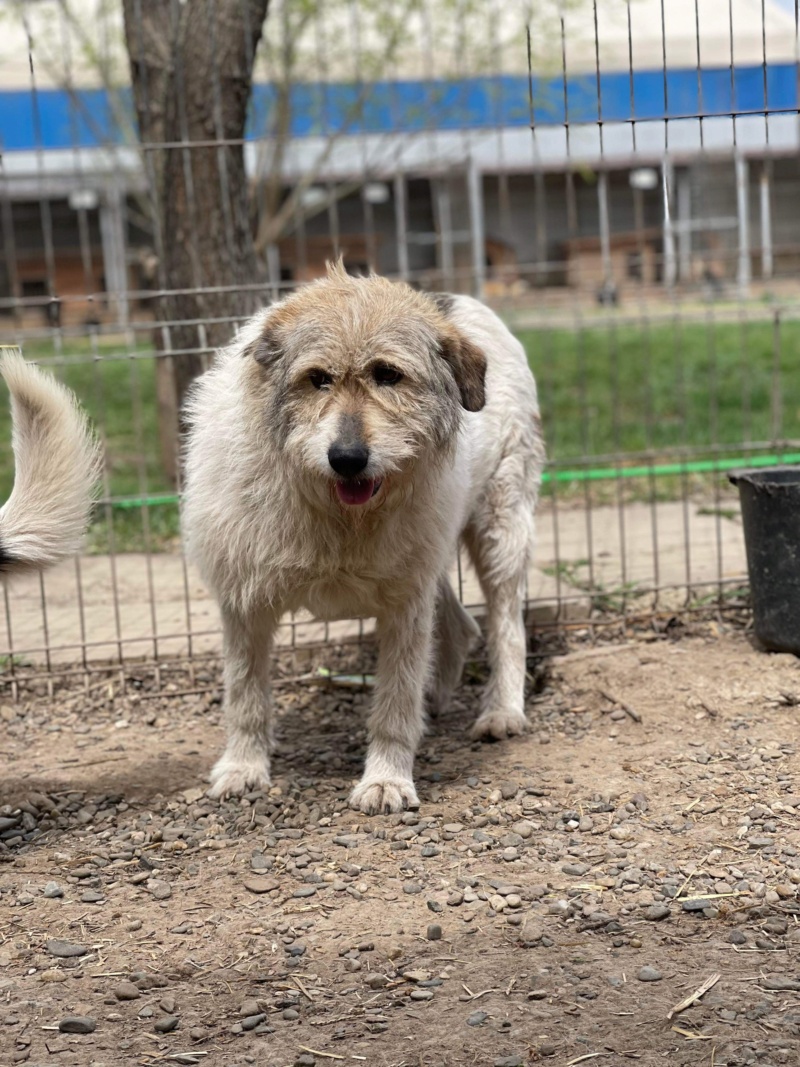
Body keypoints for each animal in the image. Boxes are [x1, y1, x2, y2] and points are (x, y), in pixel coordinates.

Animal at [181, 262, 546, 810]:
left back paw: (501, 711)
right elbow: (245, 696)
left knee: (506, 624)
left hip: (499, 529)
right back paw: (435, 700)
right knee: (461, 625)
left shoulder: (404, 605)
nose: (347, 458)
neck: (336, 512)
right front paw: (243, 767)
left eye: (388, 375)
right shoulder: (243, 603)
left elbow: (394, 701)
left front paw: (386, 779)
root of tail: (450, 300)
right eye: (317, 379)